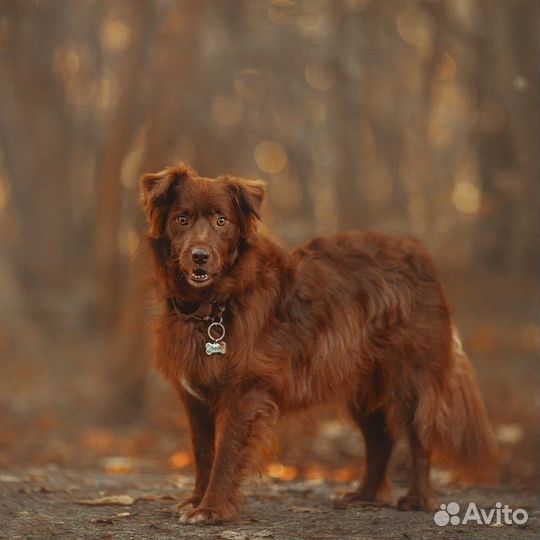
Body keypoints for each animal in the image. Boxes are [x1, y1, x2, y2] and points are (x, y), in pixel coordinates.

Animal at [140, 163, 498, 524]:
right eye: (182, 219)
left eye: (221, 221)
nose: (199, 256)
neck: (216, 304)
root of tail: (418, 253)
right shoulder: (195, 398)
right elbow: (203, 453)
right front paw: (196, 500)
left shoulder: (244, 391)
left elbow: (225, 454)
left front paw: (211, 509)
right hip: (364, 386)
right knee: (380, 438)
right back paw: (365, 494)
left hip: (412, 377)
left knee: (420, 438)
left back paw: (417, 498)